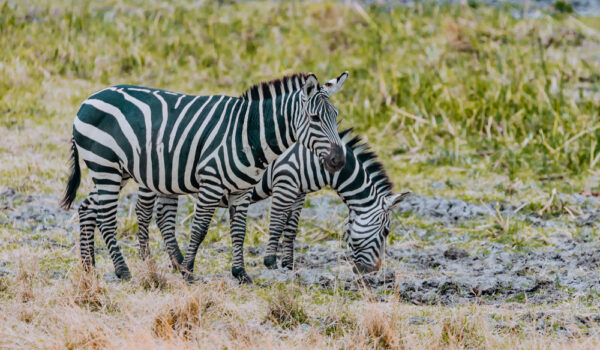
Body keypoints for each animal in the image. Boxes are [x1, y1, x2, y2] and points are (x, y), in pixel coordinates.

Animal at [61, 71, 350, 282]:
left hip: (116, 170)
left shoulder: (242, 191)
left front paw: (240, 273)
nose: (340, 160)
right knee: (106, 218)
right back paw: (122, 270)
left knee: (87, 207)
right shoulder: (211, 184)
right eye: (314, 118)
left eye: (336, 117)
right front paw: (188, 271)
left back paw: (88, 266)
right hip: (105, 166)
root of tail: (88, 99)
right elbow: (199, 229)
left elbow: (240, 231)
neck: (248, 133)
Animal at [135, 129, 410, 274]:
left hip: (168, 182)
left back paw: (176, 261)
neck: (315, 160)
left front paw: (288, 264)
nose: (374, 271)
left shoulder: (299, 193)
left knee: (163, 217)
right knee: (144, 212)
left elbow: (291, 228)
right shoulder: (285, 182)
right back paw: (146, 260)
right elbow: (277, 223)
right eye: (386, 231)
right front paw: (270, 262)